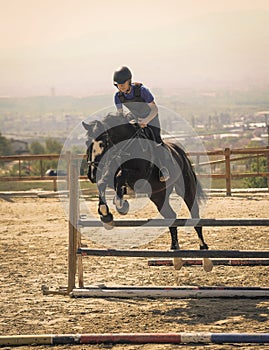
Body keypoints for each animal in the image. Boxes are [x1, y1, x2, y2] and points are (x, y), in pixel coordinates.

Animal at [81, 113, 211, 272]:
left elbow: (121, 175)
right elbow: (104, 182)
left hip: (185, 189)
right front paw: (106, 215)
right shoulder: (110, 174)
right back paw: (176, 255)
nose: (91, 173)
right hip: (158, 196)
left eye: (103, 144)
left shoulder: (139, 175)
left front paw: (121, 205)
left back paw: (205, 256)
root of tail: (179, 152)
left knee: (195, 216)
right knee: (171, 216)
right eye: (87, 142)